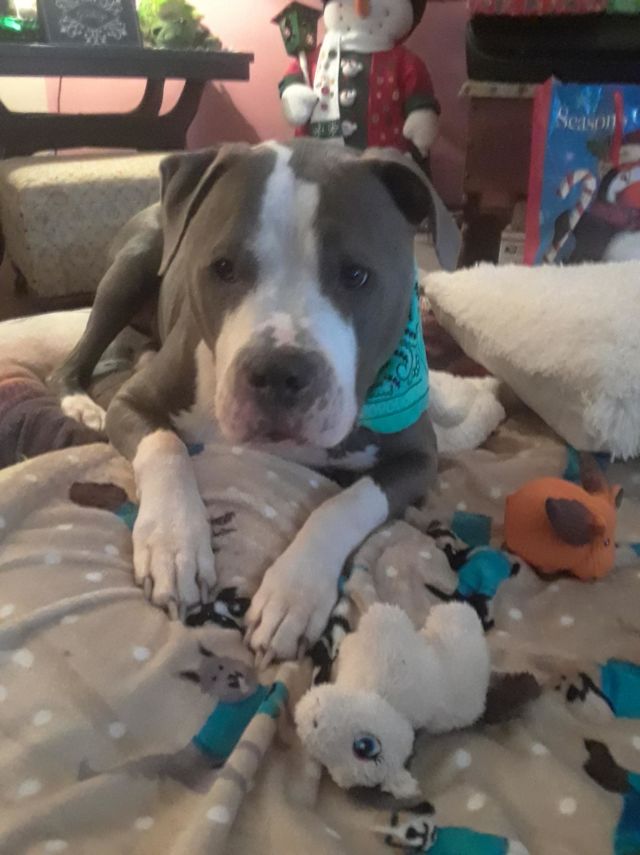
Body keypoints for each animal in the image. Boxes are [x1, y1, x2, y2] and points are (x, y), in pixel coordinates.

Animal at [50, 139, 460, 664]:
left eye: (357, 274)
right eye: (222, 267)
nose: (279, 372)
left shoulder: (419, 457)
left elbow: (348, 502)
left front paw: (293, 593)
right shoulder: (132, 403)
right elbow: (166, 447)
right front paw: (174, 544)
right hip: (131, 267)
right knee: (75, 358)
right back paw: (80, 402)